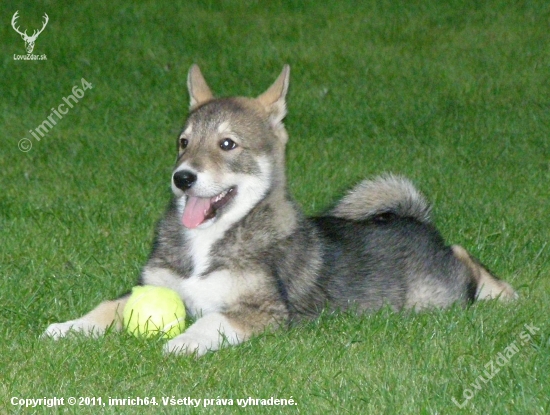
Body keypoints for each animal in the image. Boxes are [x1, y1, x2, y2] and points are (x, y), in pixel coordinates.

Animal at [45, 63, 520, 356]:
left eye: (227, 144)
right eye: (183, 142)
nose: (182, 178)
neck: (212, 240)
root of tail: (415, 219)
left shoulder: (265, 313)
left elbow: (212, 321)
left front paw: (183, 341)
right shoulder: (149, 286)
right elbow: (107, 307)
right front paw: (69, 327)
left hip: (434, 297)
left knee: (465, 261)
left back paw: (505, 294)